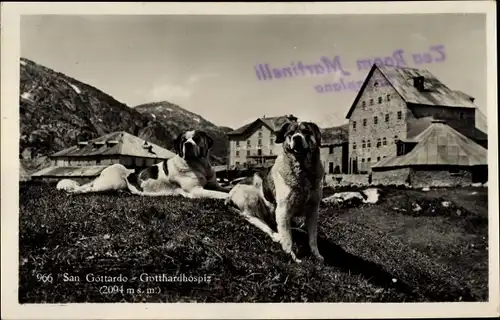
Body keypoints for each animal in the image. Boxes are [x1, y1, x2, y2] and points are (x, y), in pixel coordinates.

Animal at [226, 120, 324, 262]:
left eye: (306, 131)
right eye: (290, 133)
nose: (296, 138)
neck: (303, 173)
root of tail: (229, 194)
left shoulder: (313, 210)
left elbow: (313, 238)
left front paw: (317, 255)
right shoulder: (283, 210)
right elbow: (288, 239)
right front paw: (291, 256)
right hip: (252, 197)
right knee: (260, 222)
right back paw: (277, 235)